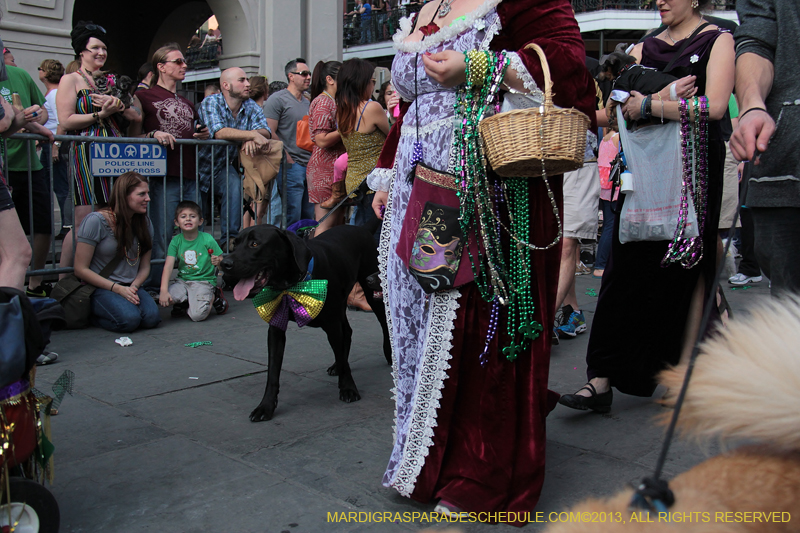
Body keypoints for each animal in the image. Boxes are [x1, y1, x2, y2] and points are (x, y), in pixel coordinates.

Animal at [220, 223, 392, 420]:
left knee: (382, 324)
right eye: (235, 244)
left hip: (372, 292)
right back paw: (336, 365)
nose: (224, 264)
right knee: (347, 332)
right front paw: (266, 406)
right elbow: (272, 372)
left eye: (254, 244)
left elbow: (342, 356)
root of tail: (360, 227)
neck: (291, 284)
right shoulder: (276, 331)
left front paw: (348, 388)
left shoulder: (332, 325)